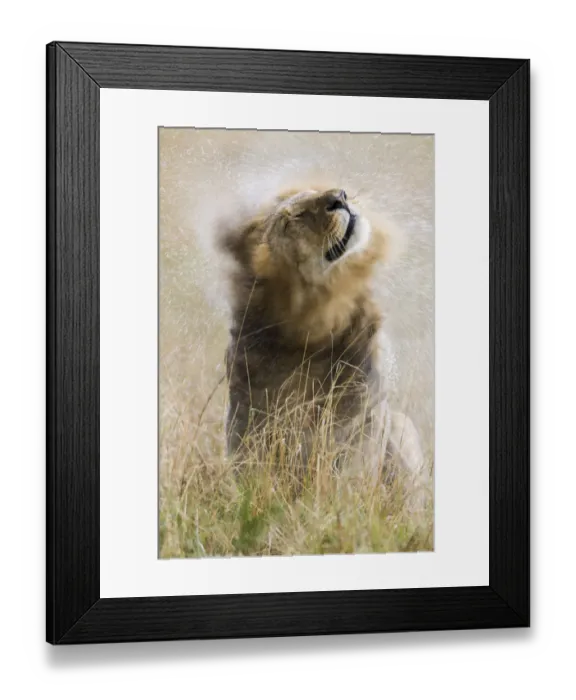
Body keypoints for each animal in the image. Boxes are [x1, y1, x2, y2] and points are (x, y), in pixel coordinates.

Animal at [217, 182, 429, 511]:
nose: (339, 197)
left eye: (325, 192)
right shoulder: (248, 413)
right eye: (297, 215)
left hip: (401, 426)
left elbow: (349, 475)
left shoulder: (363, 416)